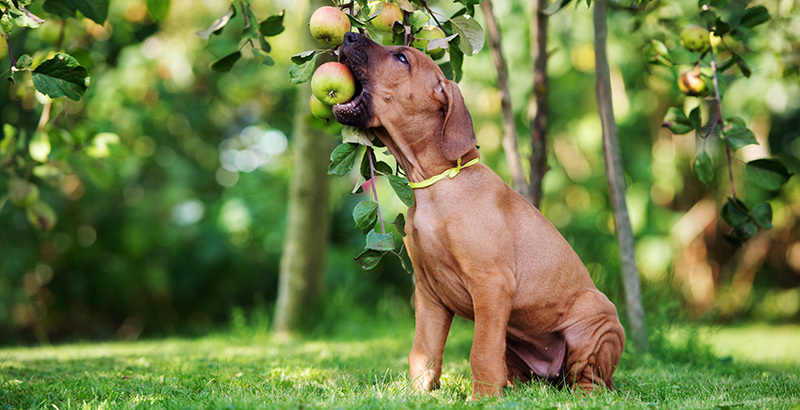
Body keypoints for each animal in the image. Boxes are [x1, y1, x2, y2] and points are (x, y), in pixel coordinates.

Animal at [332, 32, 624, 400]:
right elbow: (424, 350)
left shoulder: (491, 284)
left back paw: (580, 394)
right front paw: (417, 394)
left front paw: (482, 399)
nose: (348, 35)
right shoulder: (428, 293)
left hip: (596, 319)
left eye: (402, 58)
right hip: (515, 339)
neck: (437, 185)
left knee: (591, 378)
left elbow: (480, 351)